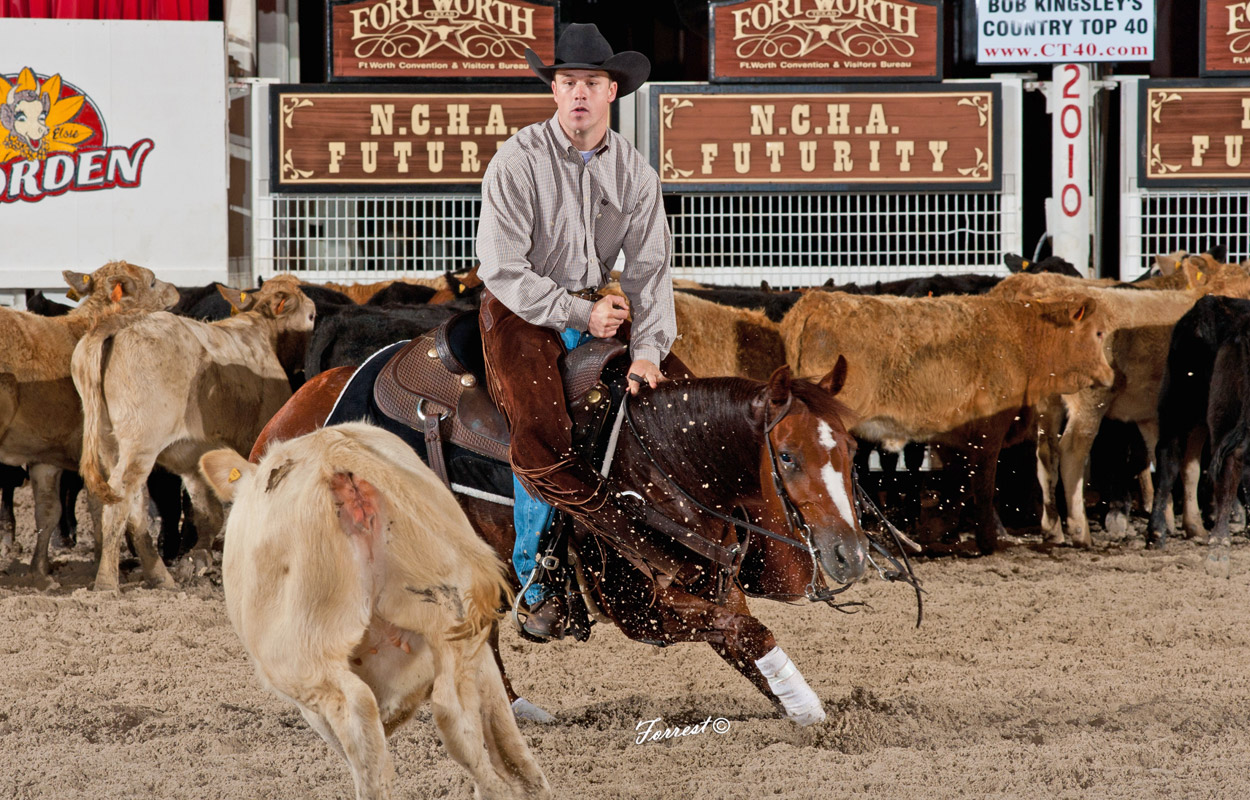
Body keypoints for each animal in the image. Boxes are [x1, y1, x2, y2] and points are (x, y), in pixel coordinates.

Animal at [0, 262, 178, 575]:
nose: (177, 291)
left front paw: (40, 571)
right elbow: (107, 505)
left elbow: (48, 511)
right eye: (153, 282)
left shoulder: (46, 453)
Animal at [72, 275, 315, 595]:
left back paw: (160, 576)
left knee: (133, 509)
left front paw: (199, 559)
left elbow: (208, 512)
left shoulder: (193, 456)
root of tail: (119, 322)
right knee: (119, 503)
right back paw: (106, 582)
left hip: (108, 445)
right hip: (139, 446)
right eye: (311, 316)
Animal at [251, 355, 880, 725]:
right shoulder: (643, 611)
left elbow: (751, 644)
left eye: (851, 449)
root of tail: (287, 416)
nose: (850, 554)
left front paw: (807, 711)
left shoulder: (716, 590)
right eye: (789, 456)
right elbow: (752, 633)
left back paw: (512, 709)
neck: (658, 465)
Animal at [780, 290, 1115, 552]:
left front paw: (940, 533)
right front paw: (987, 542)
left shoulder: (952, 437)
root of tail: (815, 301)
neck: (1021, 339)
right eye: (1098, 333)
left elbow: (958, 484)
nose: (1112, 376)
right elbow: (982, 483)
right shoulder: (989, 432)